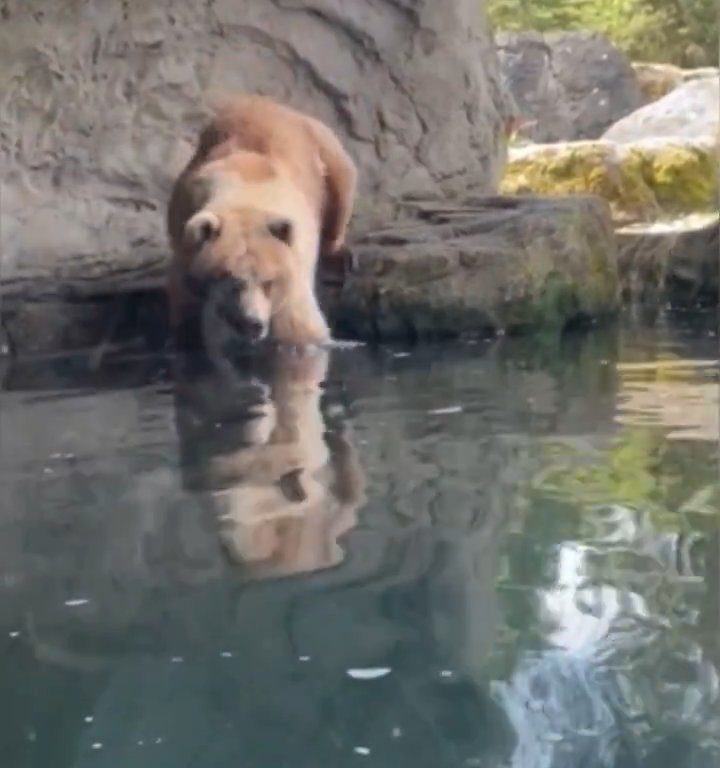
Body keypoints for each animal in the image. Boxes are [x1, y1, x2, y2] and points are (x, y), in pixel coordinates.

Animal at [165, 93, 358, 348]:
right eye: (231, 281)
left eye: (269, 281)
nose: (252, 323)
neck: (247, 190)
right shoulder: (183, 234)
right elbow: (185, 302)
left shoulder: (294, 266)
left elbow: (300, 326)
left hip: (323, 147)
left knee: (341, 182)